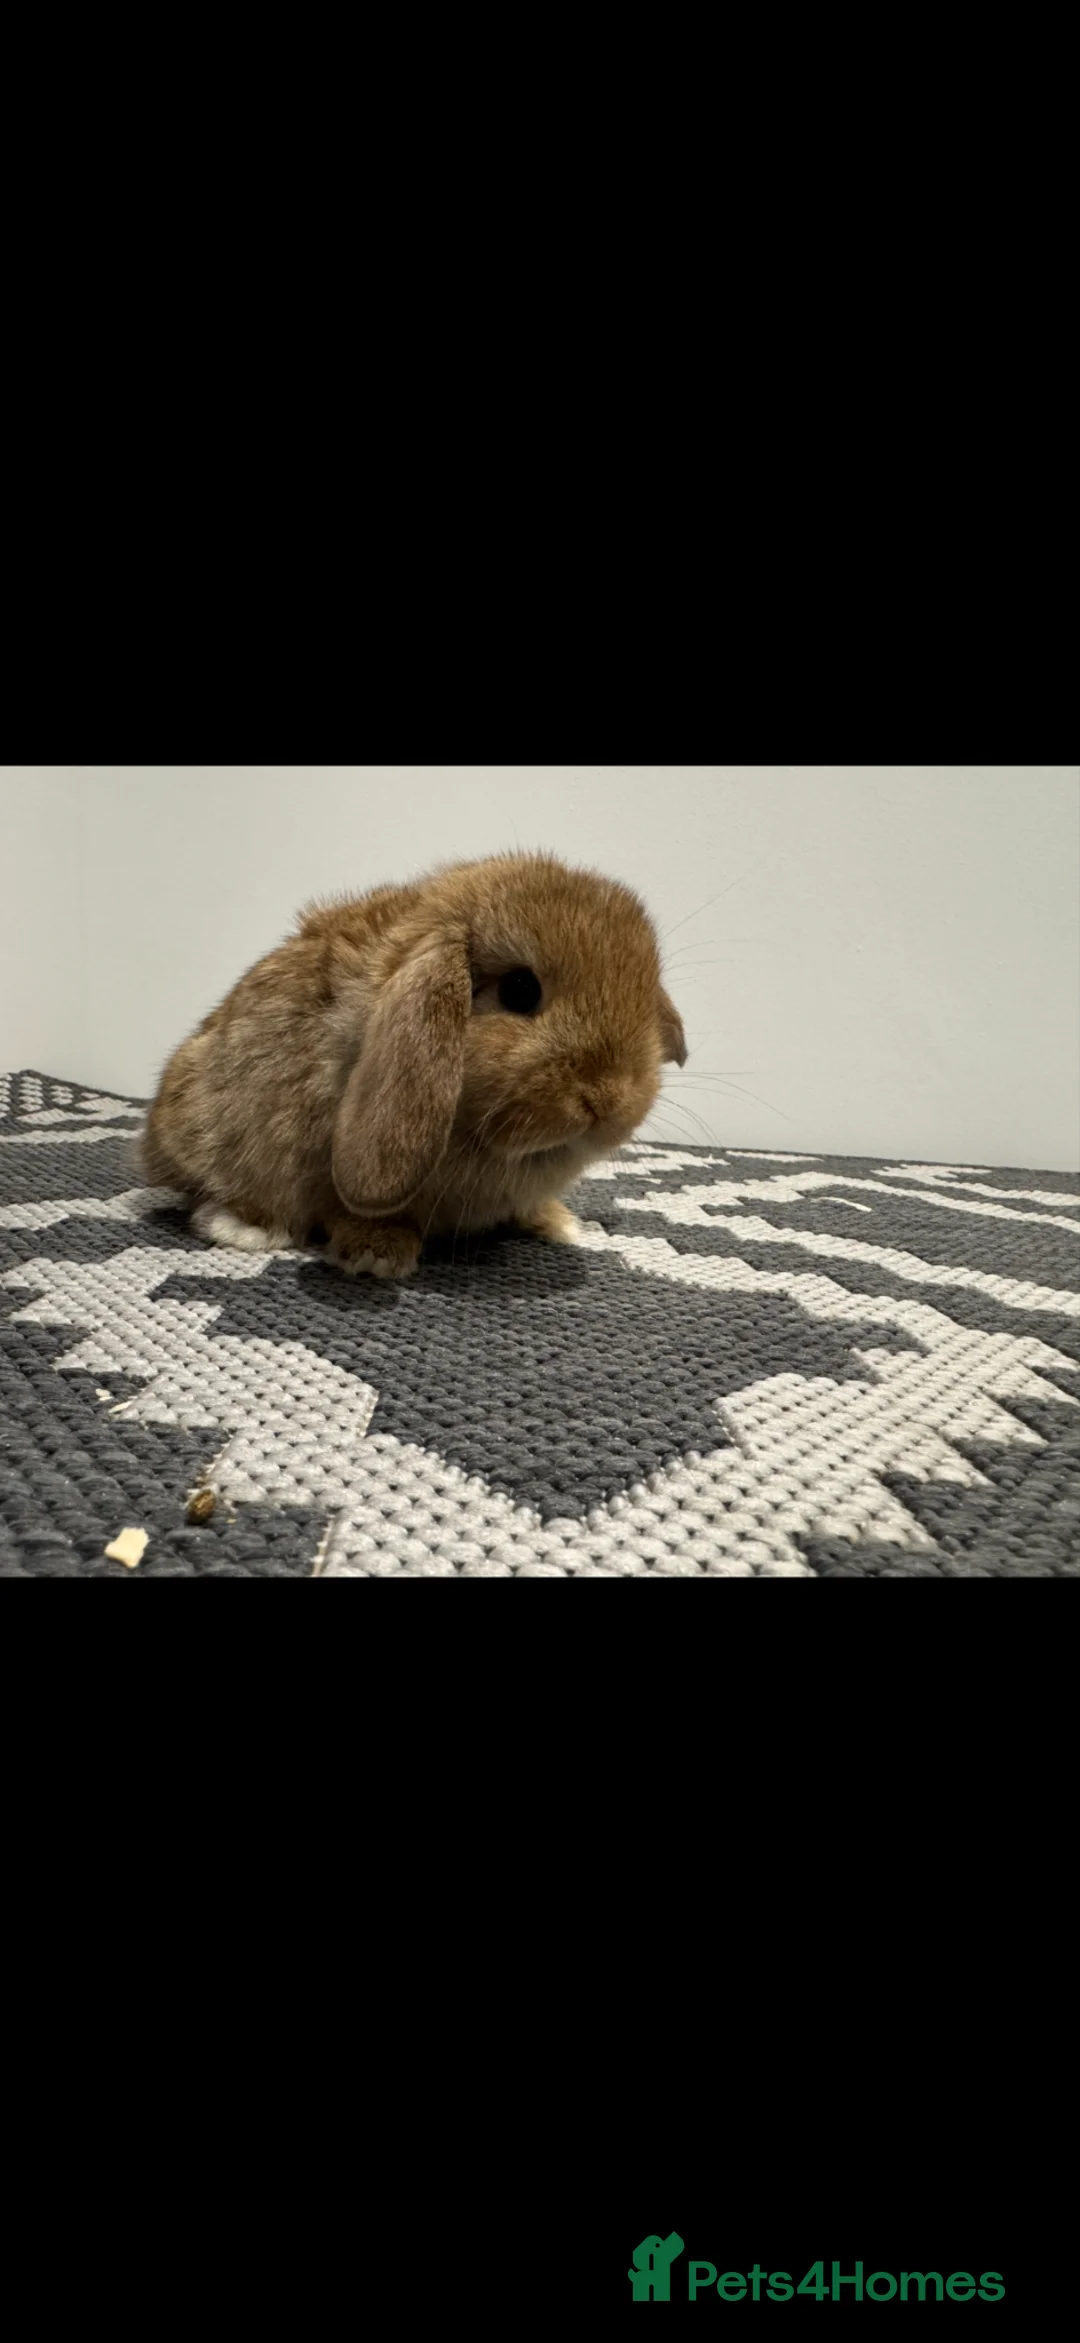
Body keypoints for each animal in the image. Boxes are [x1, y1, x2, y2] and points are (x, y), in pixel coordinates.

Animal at [139, 849, 687, 1277]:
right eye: (519, 989)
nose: (609, 1097)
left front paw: (561, 1224)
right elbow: (349, 1209)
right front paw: (376, 1255)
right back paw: (241, 1225)